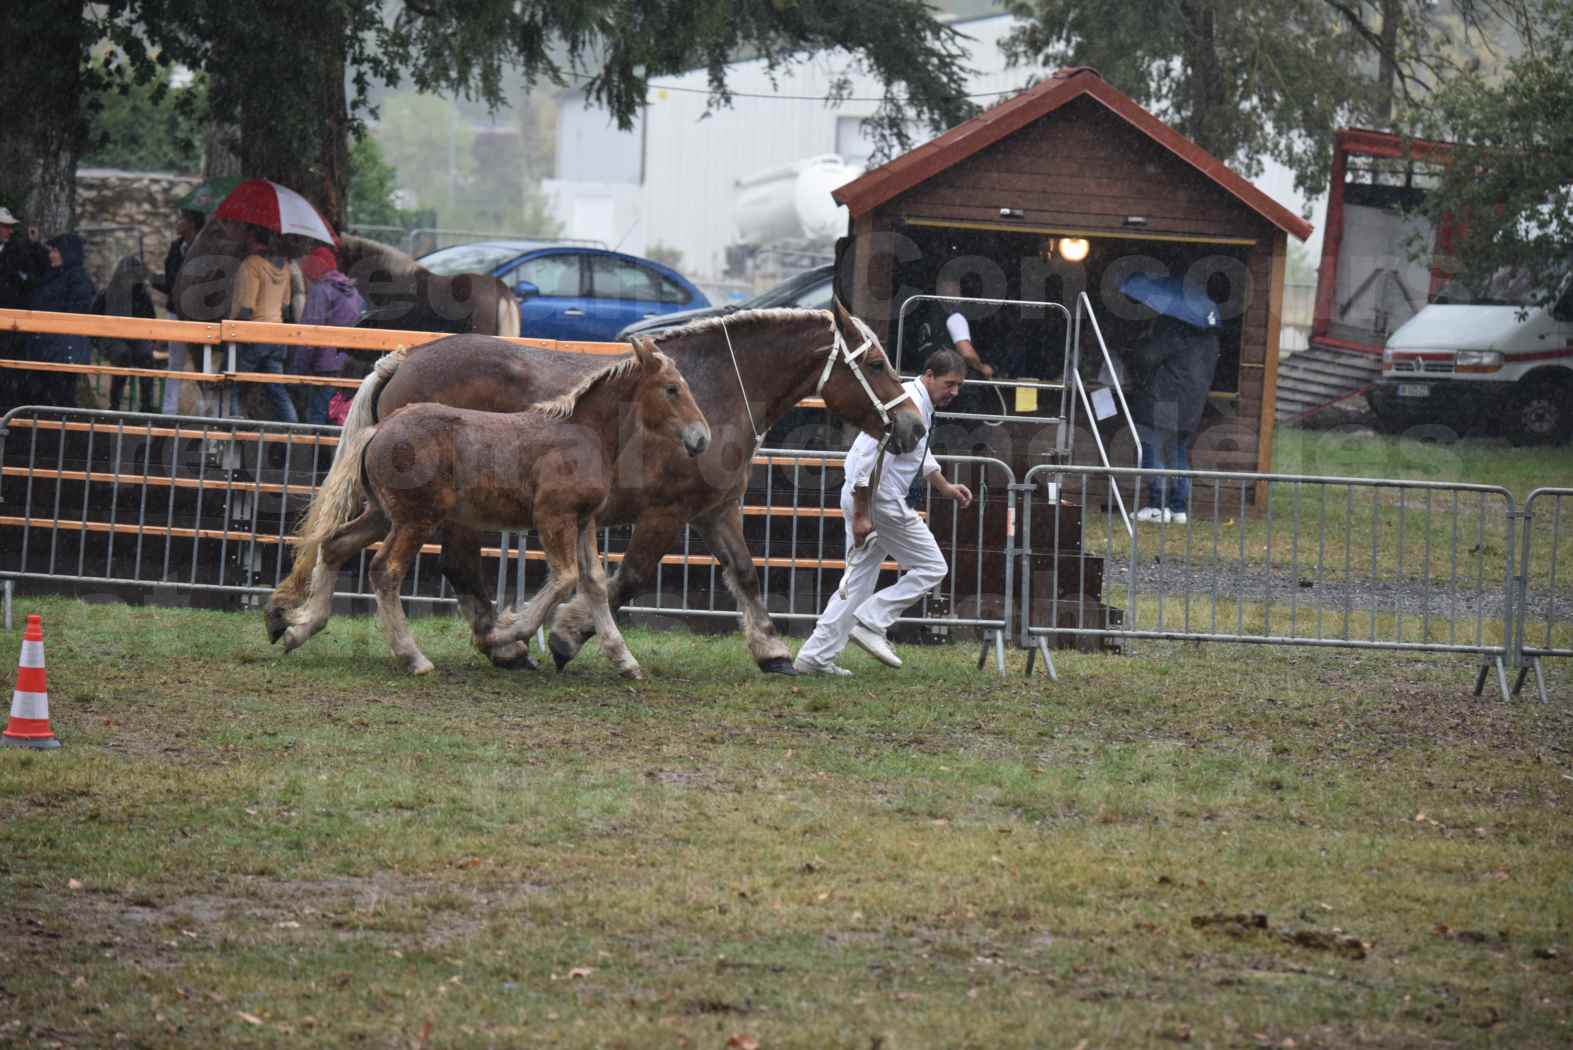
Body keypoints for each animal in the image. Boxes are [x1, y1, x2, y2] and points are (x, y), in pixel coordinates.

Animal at [283, 337, 707, 682]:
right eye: (672, 388)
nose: (701, 438)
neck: (583, 433)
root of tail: (378, 429)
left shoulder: (584, 521)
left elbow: (595, 584)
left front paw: (625, 660)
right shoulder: (553, 518)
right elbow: (564, 578)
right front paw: (503, 634)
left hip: (381, 515)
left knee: (335, 545)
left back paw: (295, 628)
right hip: (415, 520)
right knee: (385, 571)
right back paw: (414, 657)